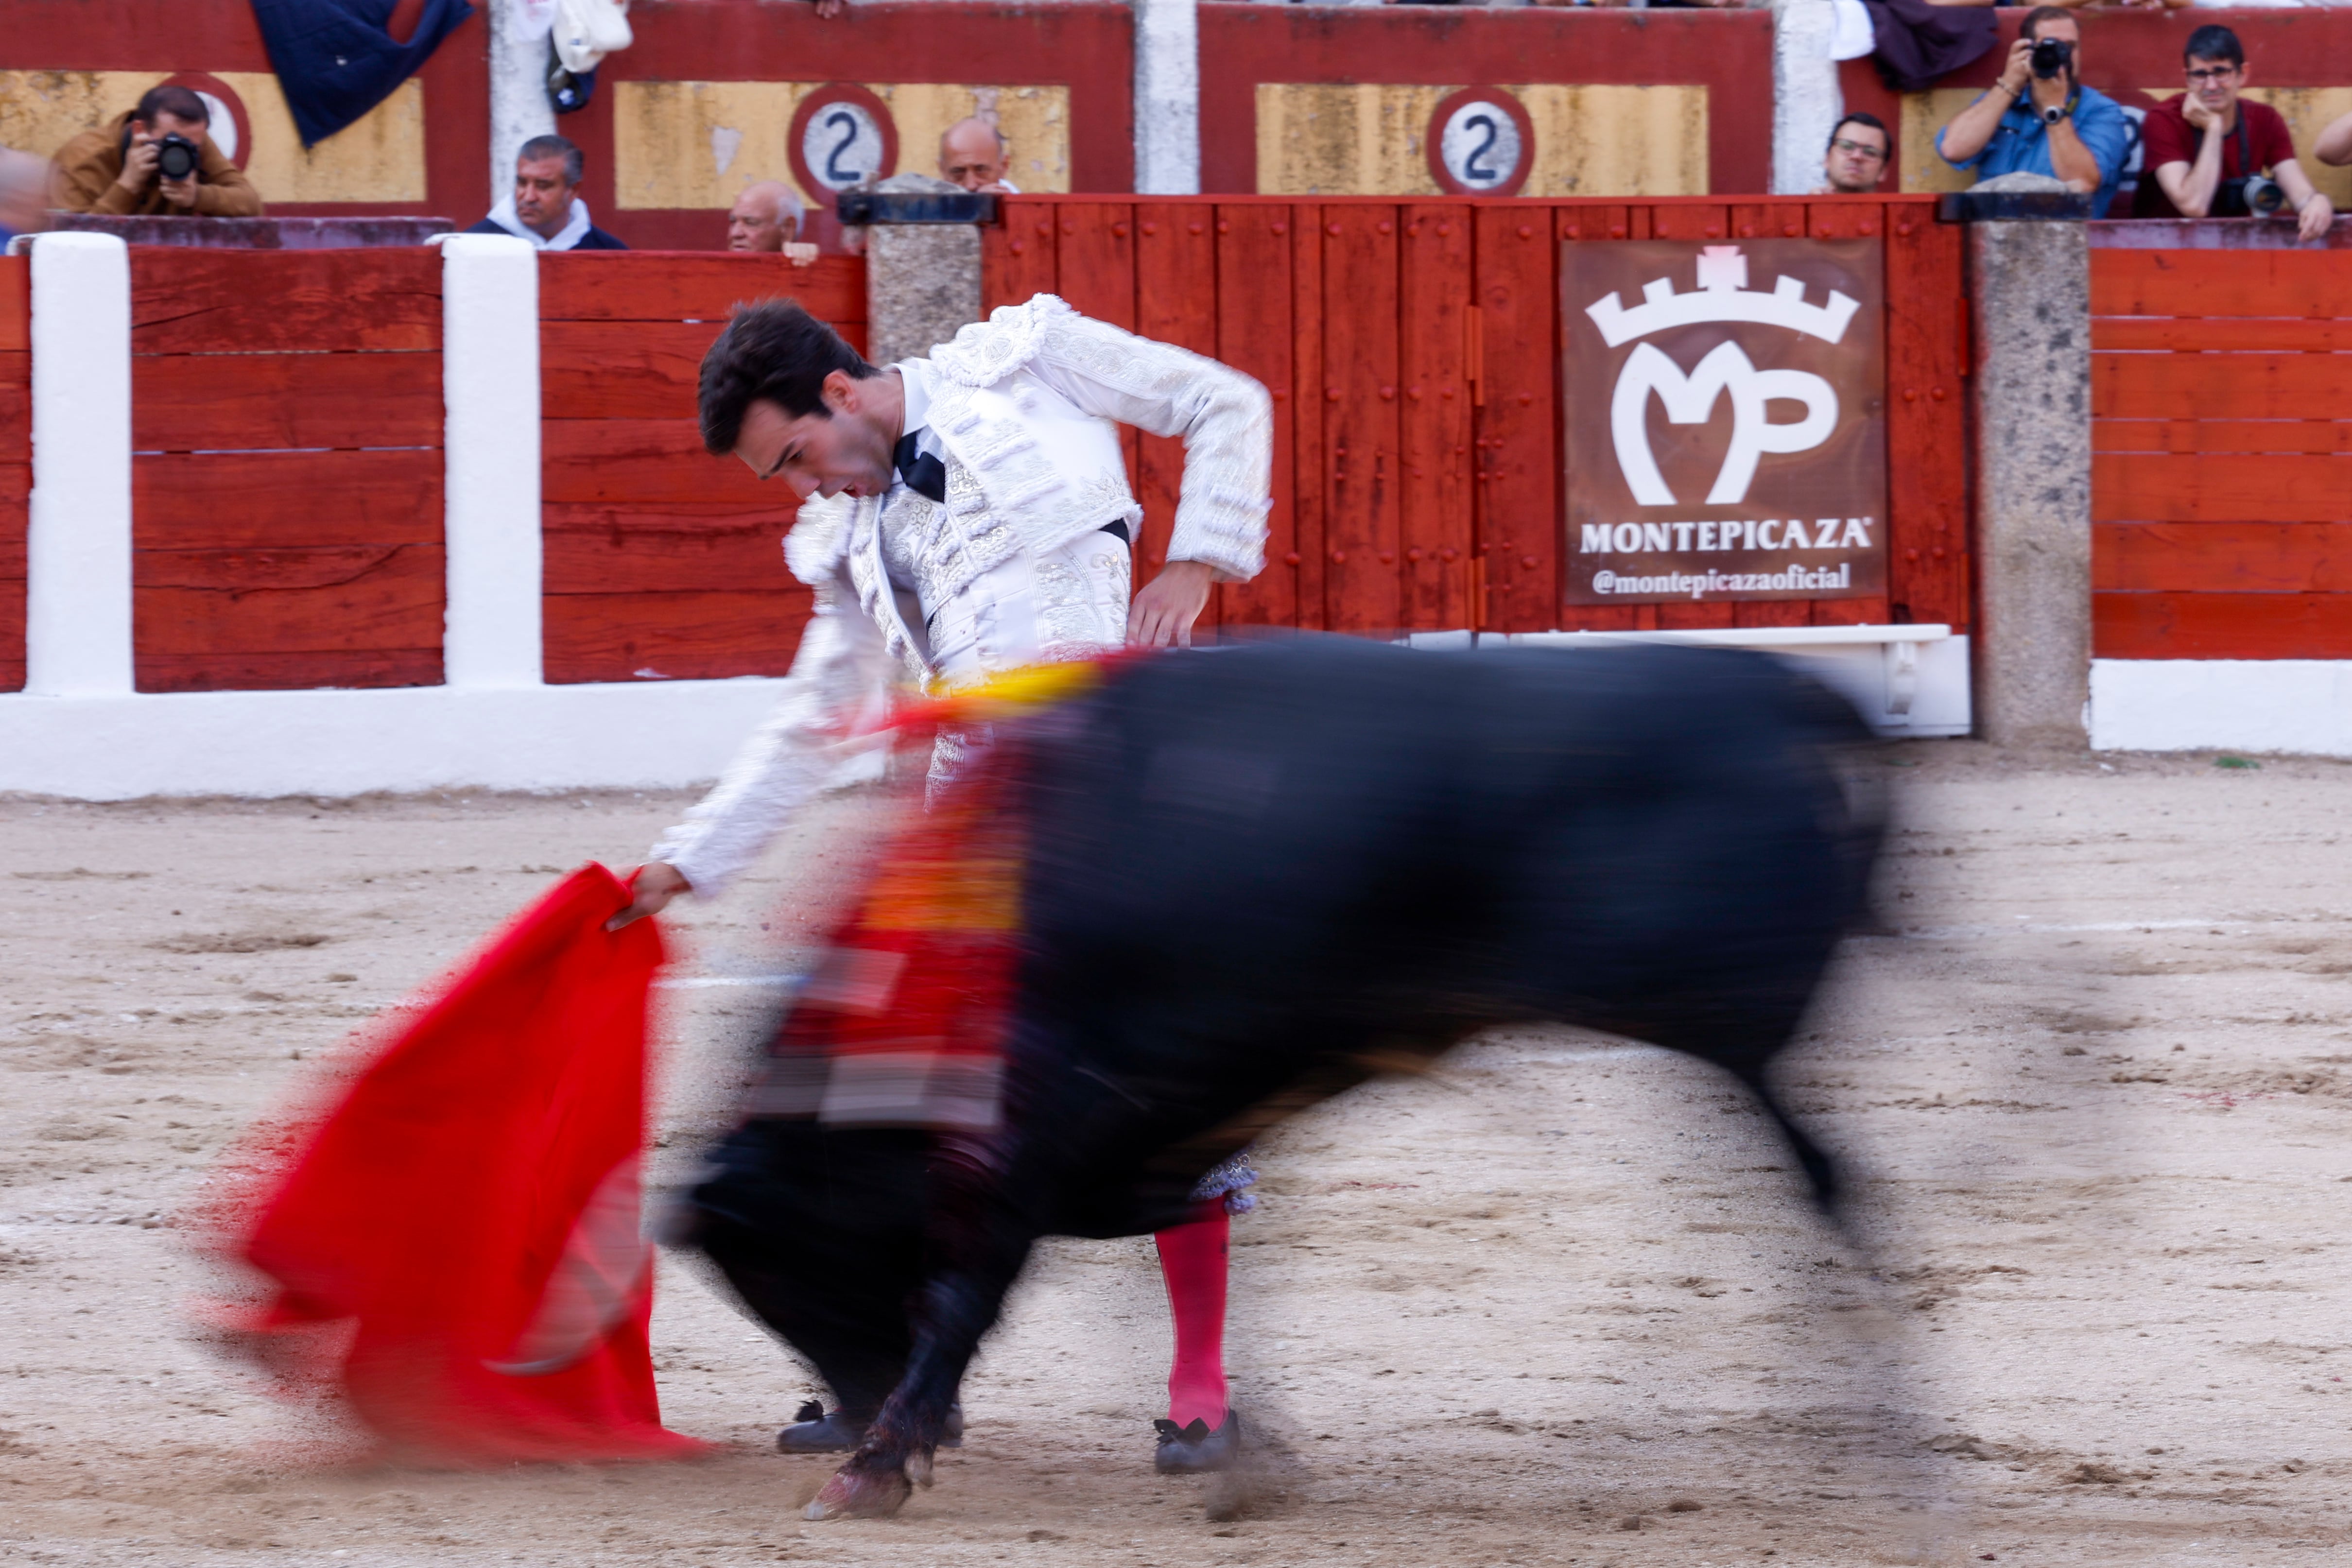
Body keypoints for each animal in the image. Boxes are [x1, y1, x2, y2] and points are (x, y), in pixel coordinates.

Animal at [682, 639, 1872, 1523]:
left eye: (780, 1264)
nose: (849, 1403)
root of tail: (1786, 687)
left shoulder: (1044, 1127)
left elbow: (962, 1290)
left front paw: (876, 1465)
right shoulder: (1148, 1130)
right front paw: (1241, 1450)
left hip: (1729, 1016)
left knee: (1826, 1187)